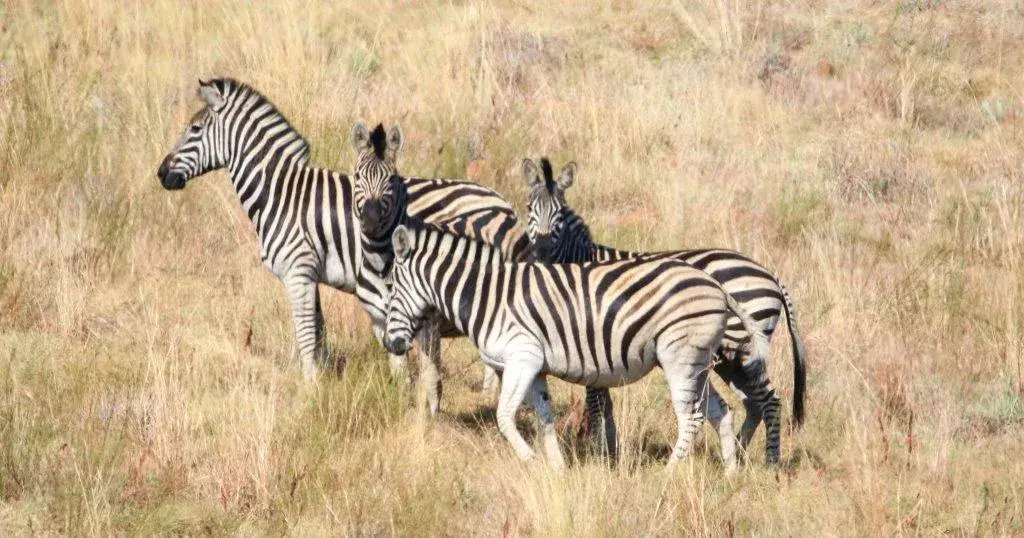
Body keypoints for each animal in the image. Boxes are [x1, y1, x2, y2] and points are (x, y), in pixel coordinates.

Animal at [155, 78, 523, 387]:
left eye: (194, 129)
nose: (161, 174)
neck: (280, 192)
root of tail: (504, 205)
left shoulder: (298, 271)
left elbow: (305, 334)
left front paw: (309, 388)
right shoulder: (310, 273)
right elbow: (318, 332)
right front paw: (323, 381)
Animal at [380, 223, 770, 469]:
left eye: (391, 287)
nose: (390, 343)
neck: (487, 296)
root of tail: (717, 287)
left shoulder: (522, 357)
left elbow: (505, 417)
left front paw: (530, 461)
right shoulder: (534, 367)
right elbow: (544, 417)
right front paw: (557, 469)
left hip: (679, 358)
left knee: (691, 417)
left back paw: (671, 473)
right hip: (697, 362)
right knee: (720, 411)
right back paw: (730, 473)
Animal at [522, 157, 808, 464]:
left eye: (560, 213)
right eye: (529, 208)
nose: (541, 251)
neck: (582, 260)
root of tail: (771, 276)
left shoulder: (593, 339)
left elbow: (596, 401)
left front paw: (601, 454)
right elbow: (605, 403)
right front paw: (611, 451)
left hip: (739, 352)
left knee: (769, 400)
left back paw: (770, 462)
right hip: (727, 358)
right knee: (754, 402)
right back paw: (739, 453)